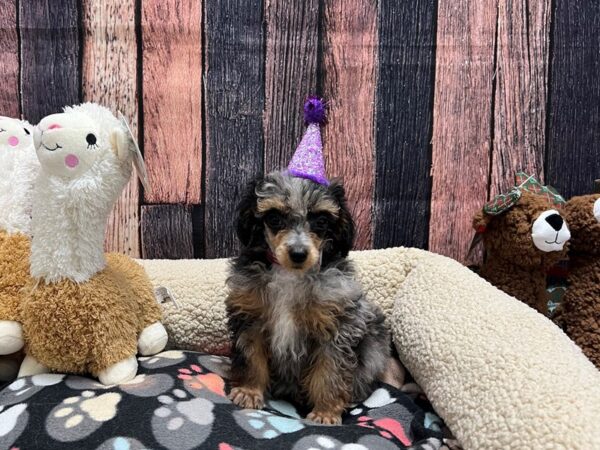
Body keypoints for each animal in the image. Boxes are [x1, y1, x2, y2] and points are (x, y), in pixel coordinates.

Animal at [225, 171, 390, 424]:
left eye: (321, 221)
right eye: (274, 218)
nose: (298, 254)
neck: (290, 275)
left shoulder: (337, 329)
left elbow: (329, 372)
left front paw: (325, 412)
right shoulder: (250, 318)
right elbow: (251, 358)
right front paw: (249, 391)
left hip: (374, 346)